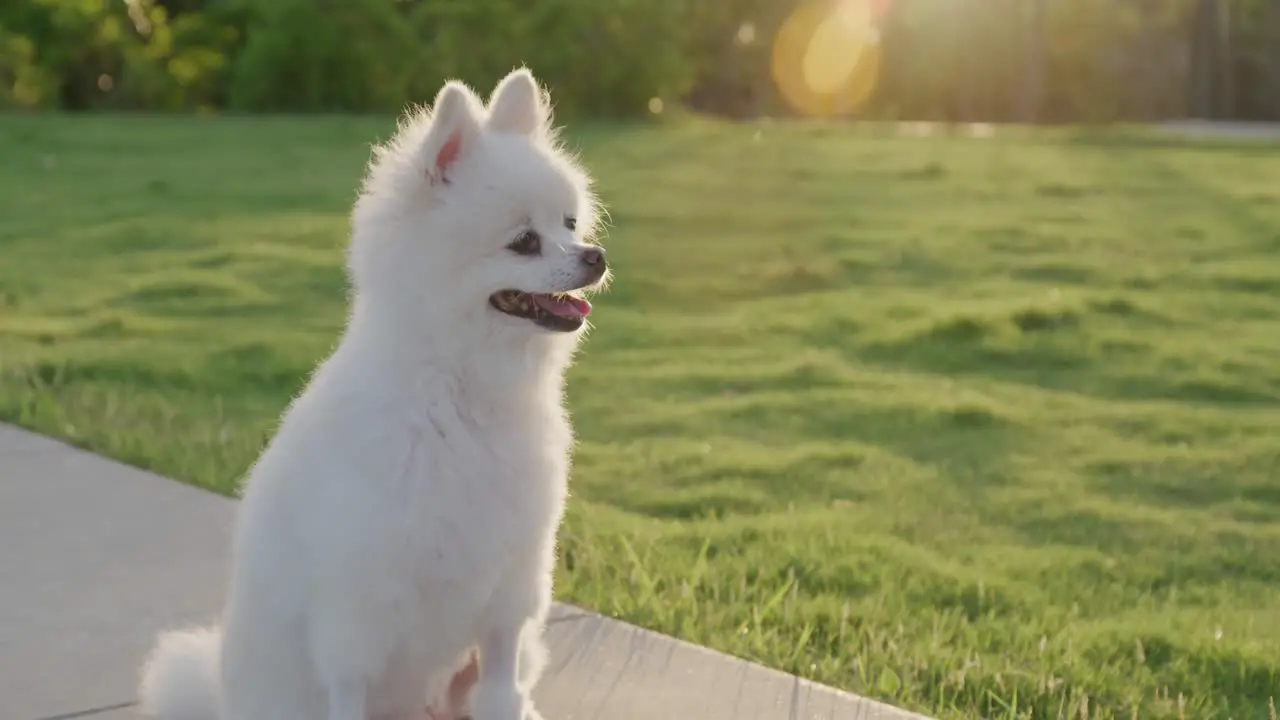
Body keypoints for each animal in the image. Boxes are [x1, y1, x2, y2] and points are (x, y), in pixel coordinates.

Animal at [137, 68, 606, 717]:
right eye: (523, 242)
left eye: (568, 224)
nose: (596, 256)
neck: (460, 393)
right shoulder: (356, 611)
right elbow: (349, 689)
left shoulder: (508, 596)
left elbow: (500, 689)